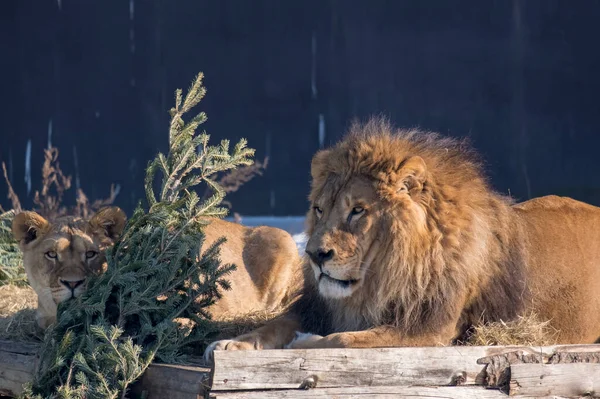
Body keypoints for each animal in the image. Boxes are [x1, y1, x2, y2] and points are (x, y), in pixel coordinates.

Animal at [205, 117, 600, 358]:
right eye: (319, 209)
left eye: (357, 210)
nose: (315, 255)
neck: (381, 278)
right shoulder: (319, 308)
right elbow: (273, 325)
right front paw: (228, 344)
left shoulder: (430, 328)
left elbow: (339, 340)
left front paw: (302, 345)